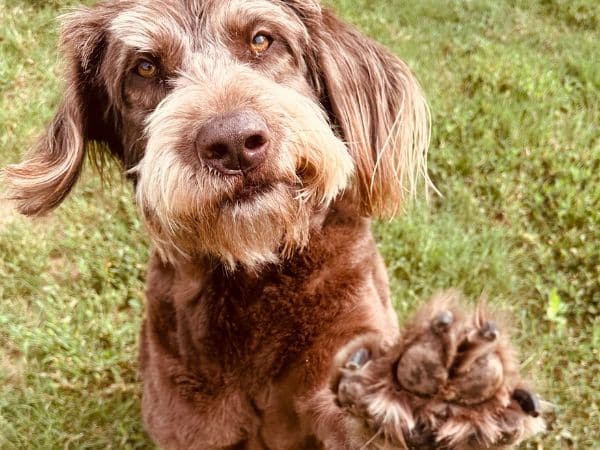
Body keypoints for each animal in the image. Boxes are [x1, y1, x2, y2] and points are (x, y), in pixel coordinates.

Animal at [4, 1, 548, 448]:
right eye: (145, 67)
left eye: (262, 40)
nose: (233, 142)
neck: (255, 280)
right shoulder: (189, 417)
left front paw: (437, 387)